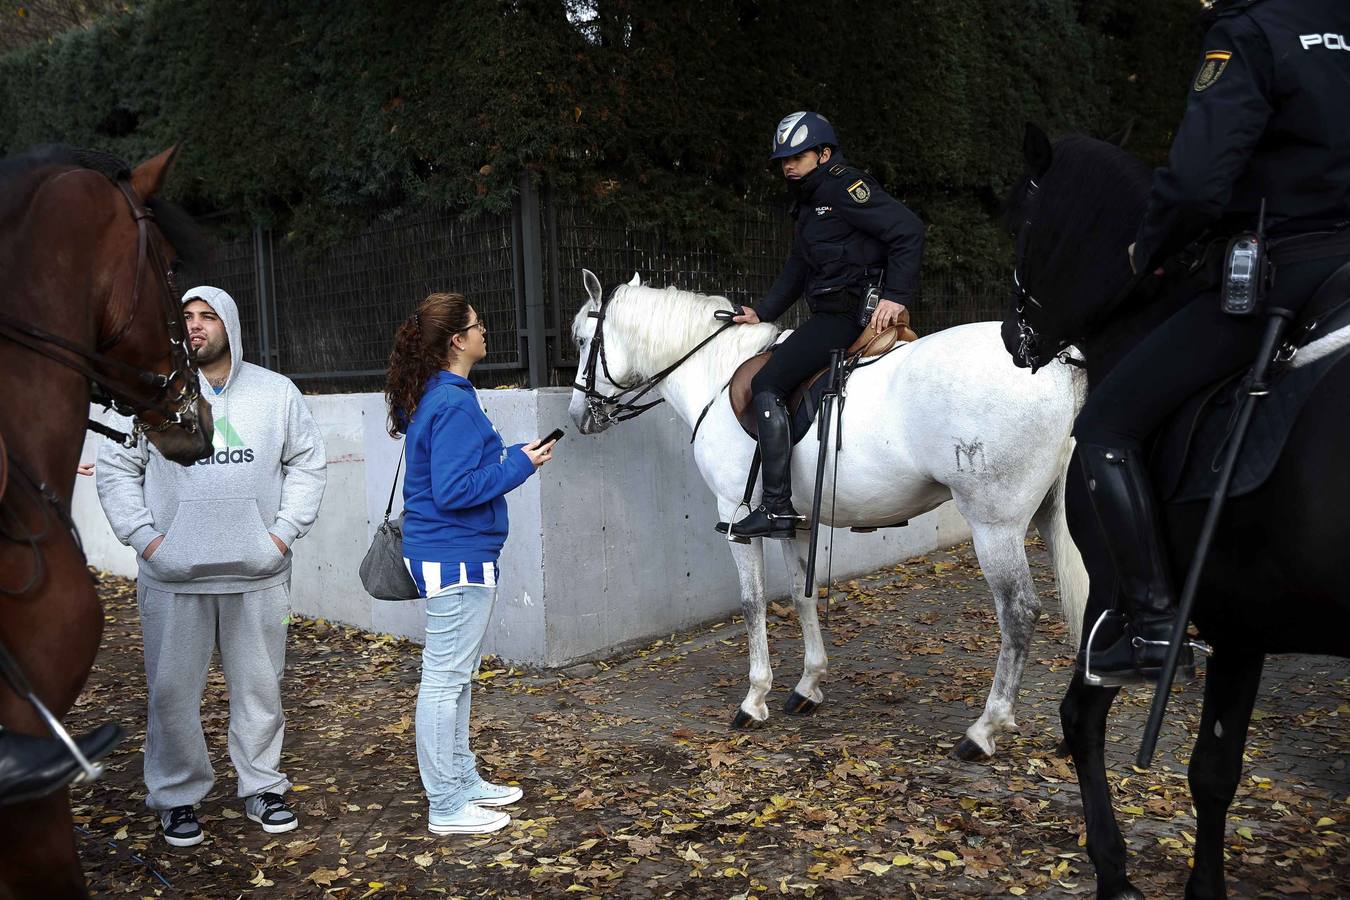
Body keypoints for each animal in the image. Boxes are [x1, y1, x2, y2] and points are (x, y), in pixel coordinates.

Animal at [567, 269, 1085, 761]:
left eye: (582, 340)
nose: (578, 416)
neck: (715, 374)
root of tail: (1056, 363)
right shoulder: (792, 522)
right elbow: (803, 594)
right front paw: (808, 686)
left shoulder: (734, 517)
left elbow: (753, 602)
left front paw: (754, 699)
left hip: (995, 526)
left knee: (1018, 611)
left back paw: (983, 730)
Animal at [1004, 123, 1350, 895]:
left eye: (1022, 224)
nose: (1014, 339)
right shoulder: (1247, 626)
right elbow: (1216, 772)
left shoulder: (1123, 600)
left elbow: (1084, 721)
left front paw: (1114, 870)